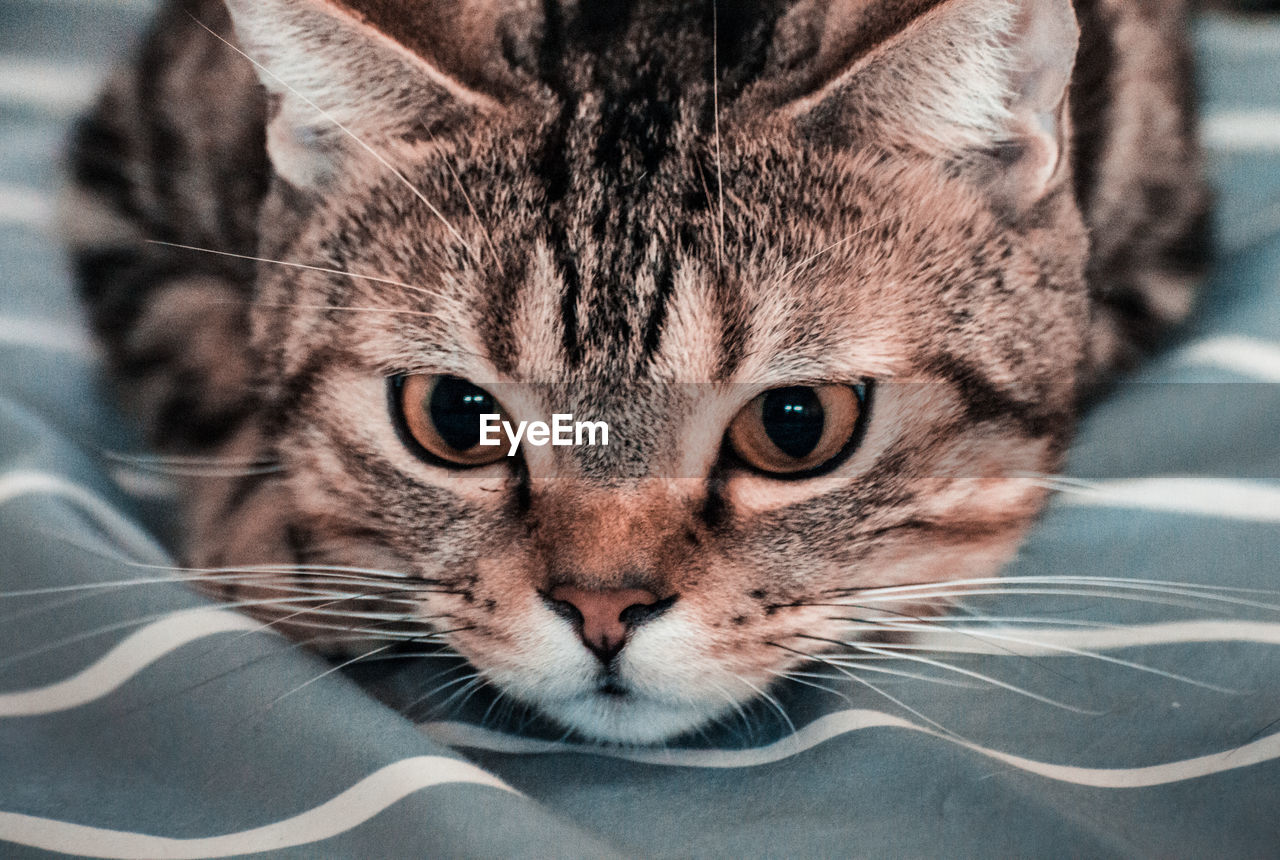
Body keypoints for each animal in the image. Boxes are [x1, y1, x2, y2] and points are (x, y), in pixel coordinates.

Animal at [64, 0, 1208, 742]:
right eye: (453, 415)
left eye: (795, 423)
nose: (601, 610)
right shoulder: (121, 172)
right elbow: (211, 373)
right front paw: (285, 553)